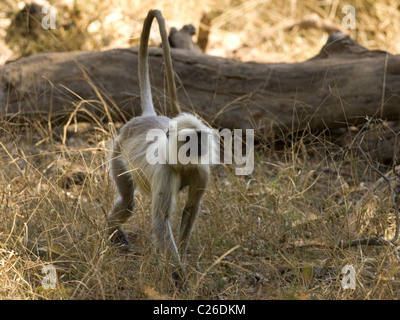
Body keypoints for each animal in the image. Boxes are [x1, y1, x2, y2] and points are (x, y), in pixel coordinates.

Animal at [107, 9, 216, 290]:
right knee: (128, 203)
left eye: (199, 139)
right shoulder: (165, 173)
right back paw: (112, 231)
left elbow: (191, 209)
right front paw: (178, 275)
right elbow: (161, 219)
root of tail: (147, 117)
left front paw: (183, 259)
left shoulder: (202, 170)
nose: (196, 147)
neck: (181, 163)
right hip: (117, 153)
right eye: (188, 139)